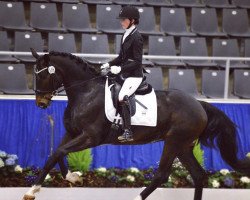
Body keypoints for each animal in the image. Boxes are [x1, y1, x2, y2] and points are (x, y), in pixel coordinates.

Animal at [23, 48, 250, 200]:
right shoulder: (72, 133)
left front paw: (31, 191)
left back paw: (136, 198)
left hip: (174, 142)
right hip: (184, 146)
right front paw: (73, 178)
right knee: (199, 175)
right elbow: (56, 154)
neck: (86, 92)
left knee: (162, 175)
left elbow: (57, 153)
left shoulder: (90, 137)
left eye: (43, 74)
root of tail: (199, 104)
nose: (41, 103)